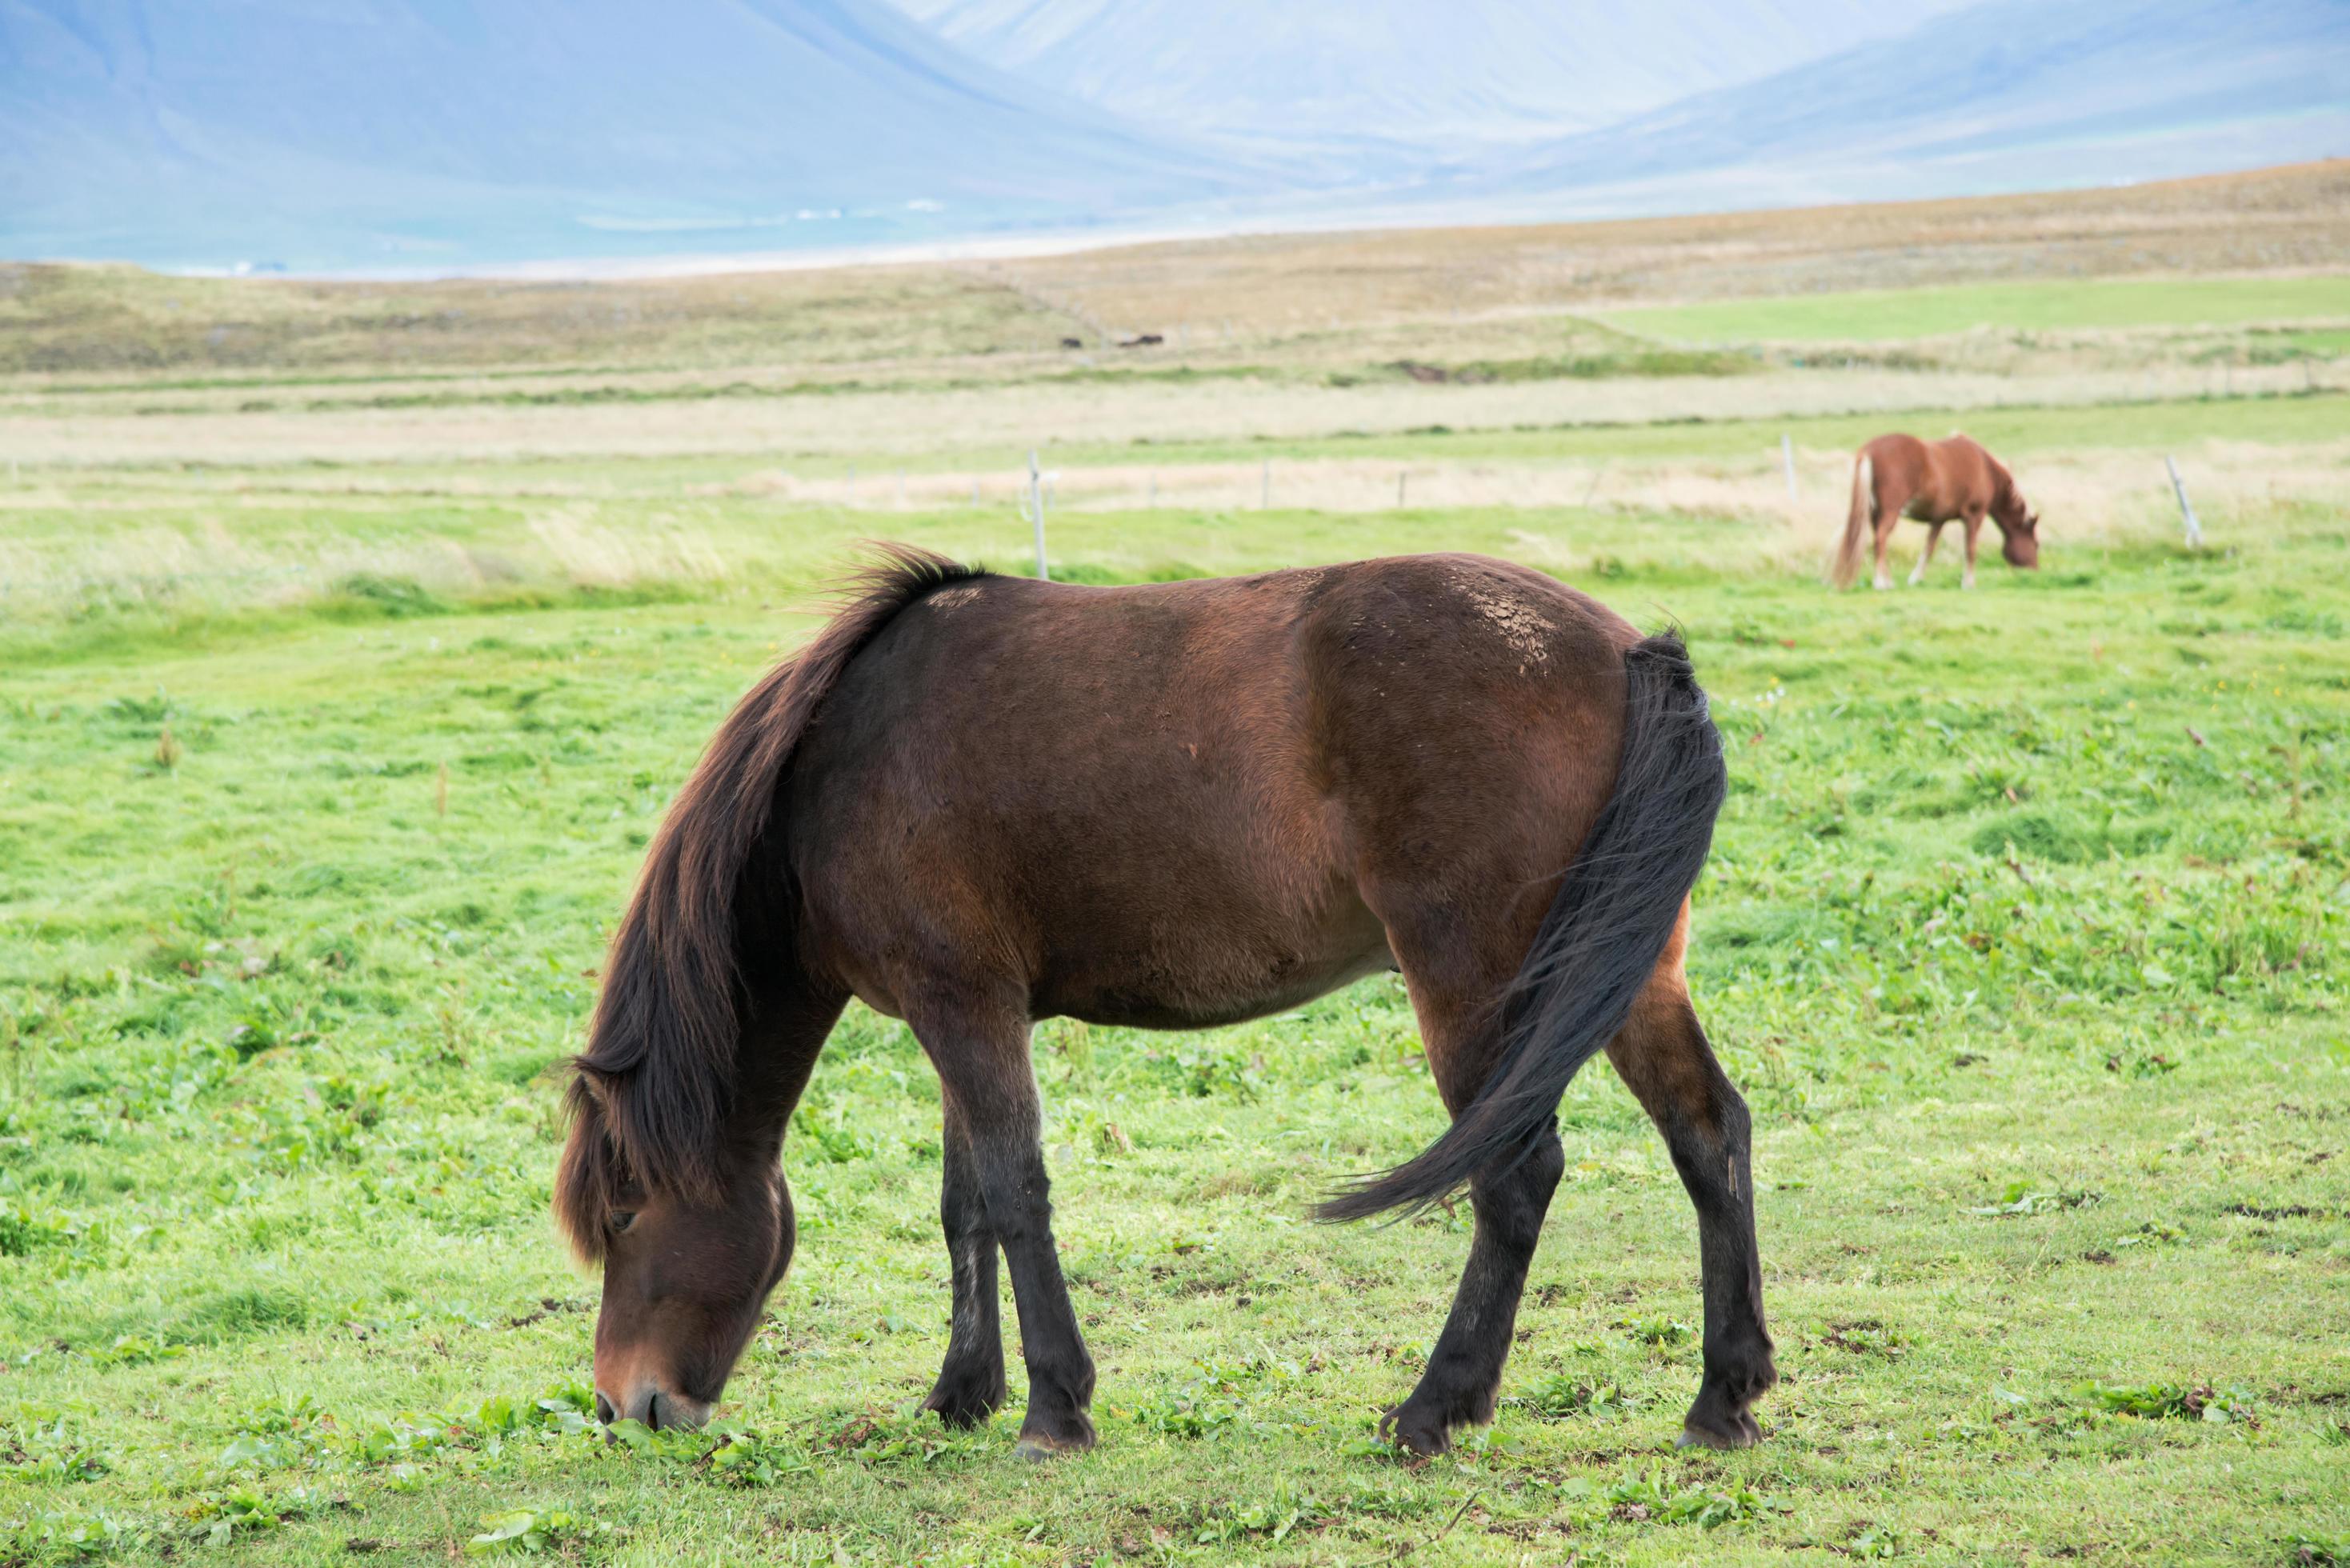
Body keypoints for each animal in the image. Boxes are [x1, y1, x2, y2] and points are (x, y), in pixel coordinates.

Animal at [545, 550, 1767, 1457]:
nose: (624, 1405)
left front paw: (1053, 1409)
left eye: (625, 1216)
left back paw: (1434, 1409)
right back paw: (1724, 1396)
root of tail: (1627, 652)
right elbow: (964, 1203)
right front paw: (961, 1393)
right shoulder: (966, 1014)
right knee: (1708, 1134)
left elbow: (1013, 1192)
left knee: (1515, 1175)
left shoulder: (962, 1005)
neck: (834, 769)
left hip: (1469, 981)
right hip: (1629, 969)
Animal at [1832, 432, 2040, 592]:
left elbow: (1929, 548)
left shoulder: (1939, 519)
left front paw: (1915, 578)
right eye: (2036, 545)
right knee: (1881, 539)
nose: (2035, 570)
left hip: (1873, 513)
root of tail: (1870, 450)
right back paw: (1882, 583)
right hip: (1889, 513)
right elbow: (1970, 549)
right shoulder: (1975, 515)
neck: (1985, 468)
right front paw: (1968, 583)